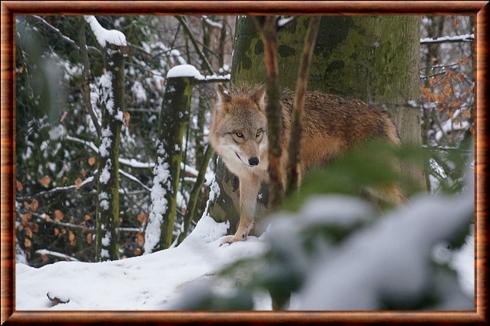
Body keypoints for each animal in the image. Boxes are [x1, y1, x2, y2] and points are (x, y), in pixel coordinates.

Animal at [209, 85, 404, 243]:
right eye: (239, 134)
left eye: (258, 133)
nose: (253, 160)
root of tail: (383, 115)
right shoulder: (248, 177)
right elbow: (246, 214)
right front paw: (237, 239)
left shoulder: (290, 172)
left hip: (378, 183)